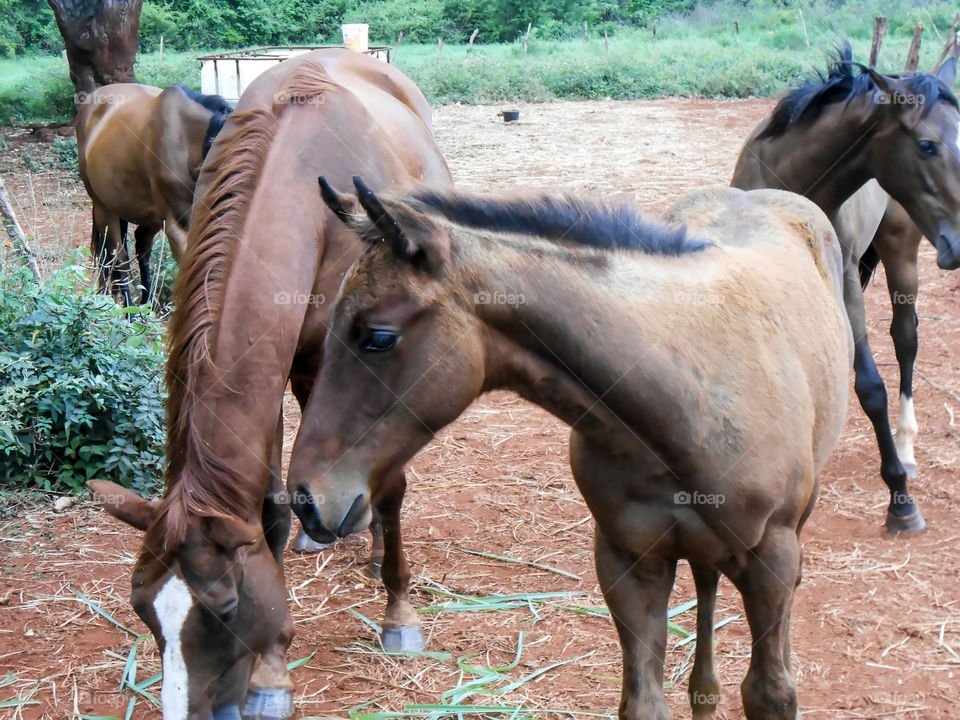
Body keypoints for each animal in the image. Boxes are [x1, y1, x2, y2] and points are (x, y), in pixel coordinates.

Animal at [75, 83, 232, 306]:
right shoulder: (177, 226)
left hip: (150, 217)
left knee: (141, 248)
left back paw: (146, 302)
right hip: (103, 208)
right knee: (117, 256)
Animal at [290, 176, 848, 720]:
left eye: (378, 337)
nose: (306, 499)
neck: (688, 391)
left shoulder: (770, 559)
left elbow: (771, 693)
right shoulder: (627, 561)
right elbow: (643, 702)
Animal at [732, 40, 956, 536]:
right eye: (926, 144)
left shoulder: (847, 282)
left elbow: (870, 384)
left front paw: (900, 501)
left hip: (901, 255)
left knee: (906, 339)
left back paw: (906, 449)